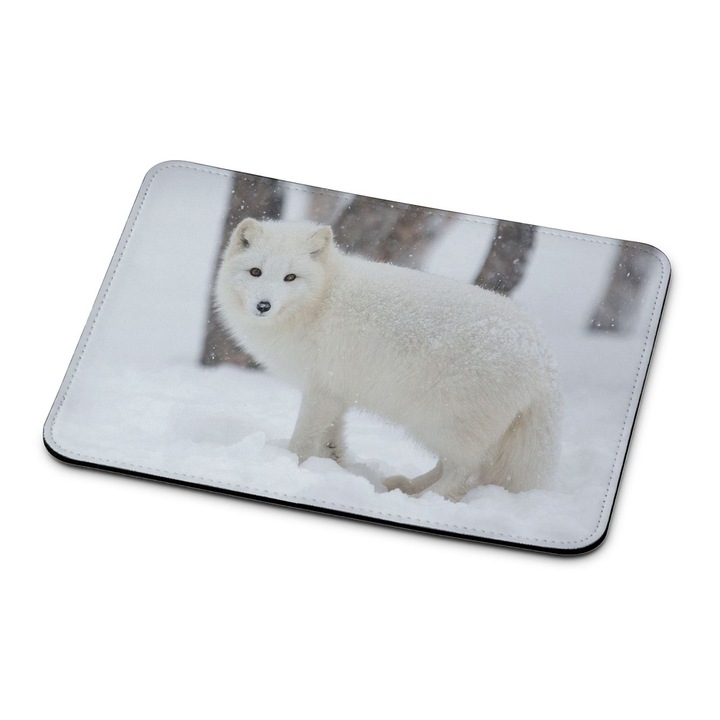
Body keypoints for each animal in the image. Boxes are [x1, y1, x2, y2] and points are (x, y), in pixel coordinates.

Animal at [214, 217, 562, 501]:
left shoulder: (320, 391)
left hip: (445, 423)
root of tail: (542, 354)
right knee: (451, 467)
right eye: (255, 272)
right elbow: (331, 439)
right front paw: (332, 467)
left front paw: (290, 467)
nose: (263, 305)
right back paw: (406, 486)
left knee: (464, 473)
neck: (321, 299)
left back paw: (425, 501)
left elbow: (302, 441)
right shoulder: (336, 393)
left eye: (290, 277)